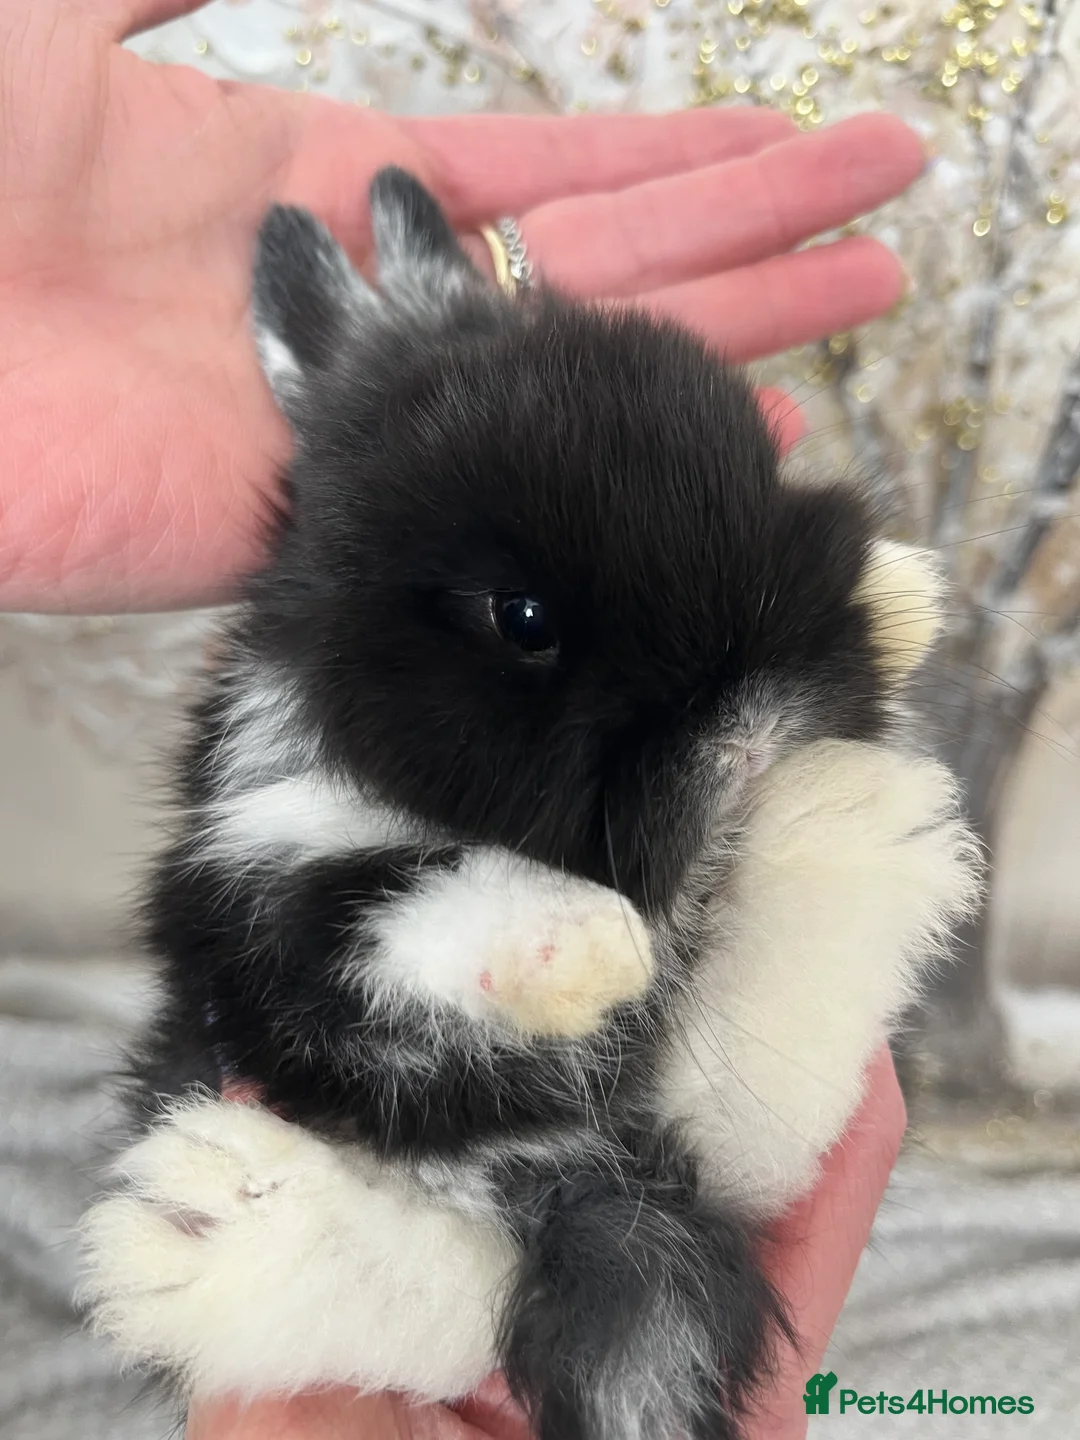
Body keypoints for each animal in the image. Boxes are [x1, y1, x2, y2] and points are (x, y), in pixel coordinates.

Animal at [81, 168, 982, 1440]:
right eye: (524, 619)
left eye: (761, 476)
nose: (750, 727)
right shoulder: (262, 897)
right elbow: (394, 897)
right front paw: (588, 942)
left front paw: (904, 599)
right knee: (481, 1289)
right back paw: (198, 1231)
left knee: (735, 1133)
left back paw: (864, 827)